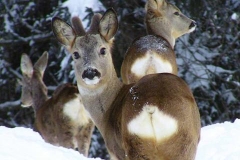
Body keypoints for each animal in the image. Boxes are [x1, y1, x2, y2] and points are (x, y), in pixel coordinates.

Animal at [52, 8, 201, 160]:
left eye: (103, 49)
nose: (90, 72)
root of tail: (151, 107)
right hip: (178, 142)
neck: (106, 112)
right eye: (75, 54)